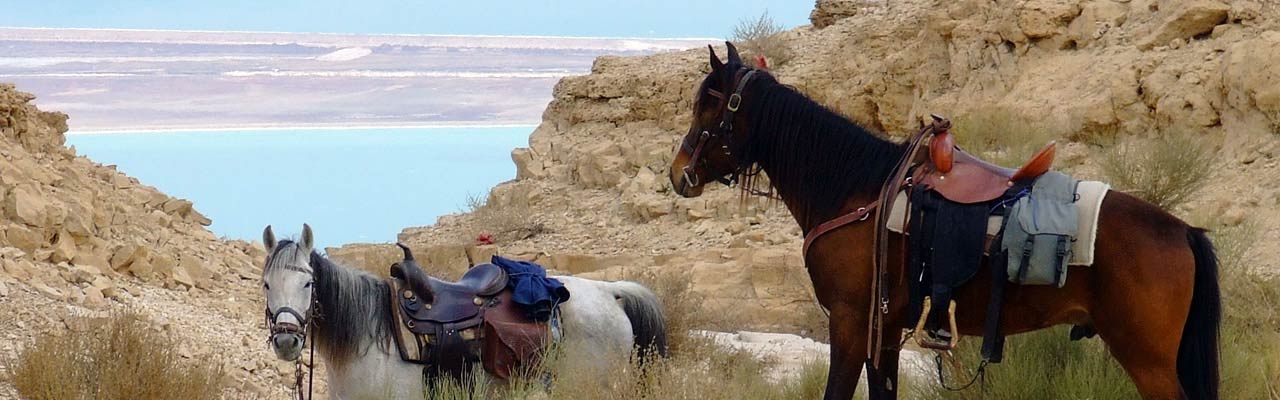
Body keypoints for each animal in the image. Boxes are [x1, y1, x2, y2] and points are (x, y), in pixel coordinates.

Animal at [670, 42, 1218, 397]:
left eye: (709, 106)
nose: (679, 174)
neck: (855, 191)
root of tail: (1183, 232)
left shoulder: (848, 324)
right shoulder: (885, 332)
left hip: (1148, 360)